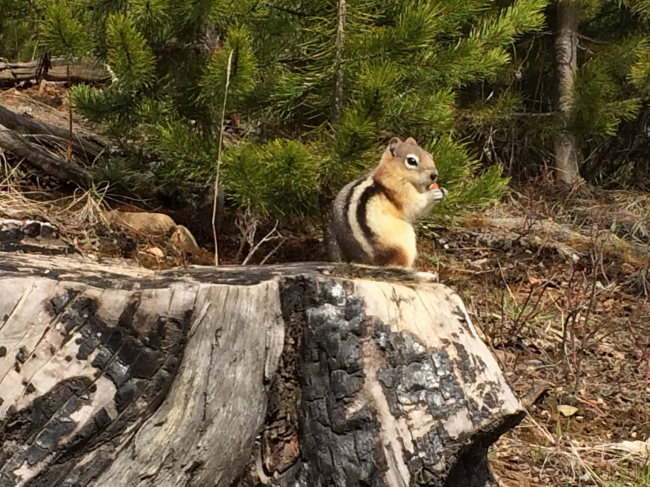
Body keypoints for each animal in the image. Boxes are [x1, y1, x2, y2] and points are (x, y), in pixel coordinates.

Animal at [332, 135, 442, 268]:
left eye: (430, 155)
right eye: (411, 161)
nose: (434, 174)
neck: (391, 171)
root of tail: (372, 263)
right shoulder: (399, 188)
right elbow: (414, 206)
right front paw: (435, 194)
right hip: (405, 244)